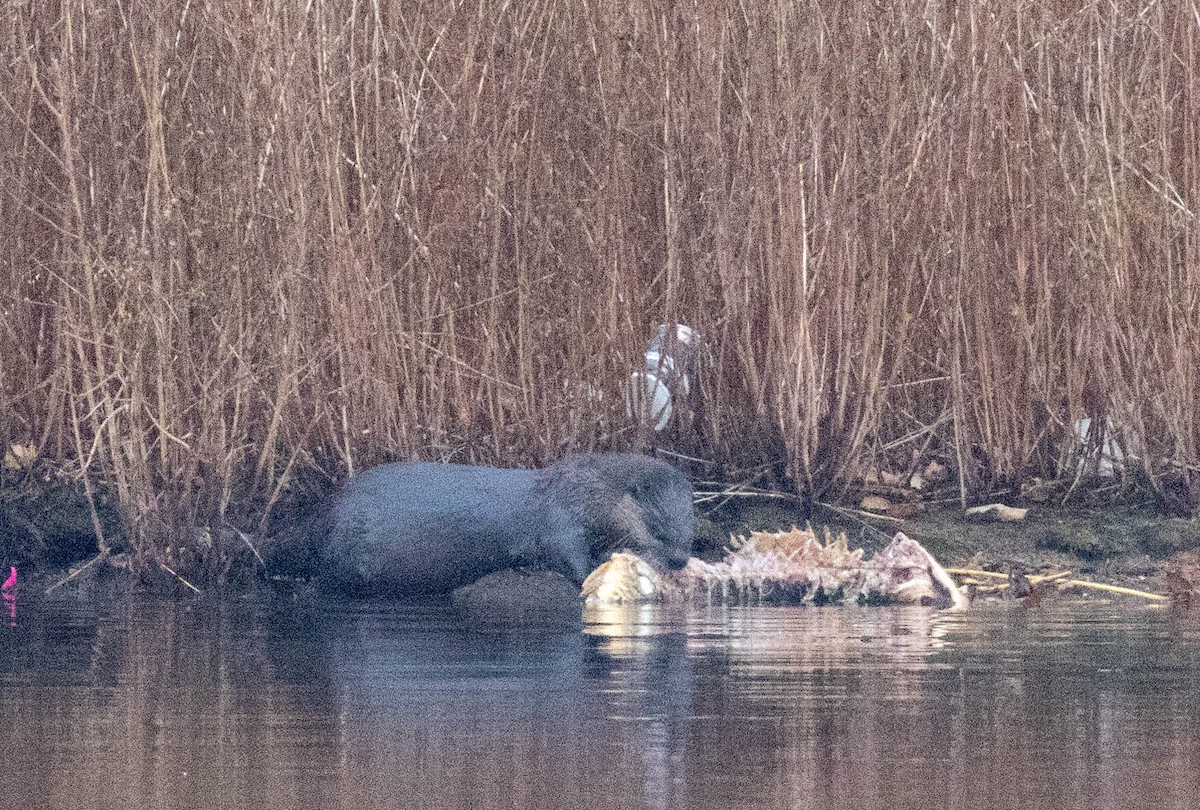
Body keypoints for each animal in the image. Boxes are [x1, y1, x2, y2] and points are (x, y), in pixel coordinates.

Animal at [319, 453, 694, 595]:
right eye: (657, 531)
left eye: (689, 533)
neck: (586, 493)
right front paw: (592, 573)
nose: (680, 560)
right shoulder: (559, 521)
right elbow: (566, 556)